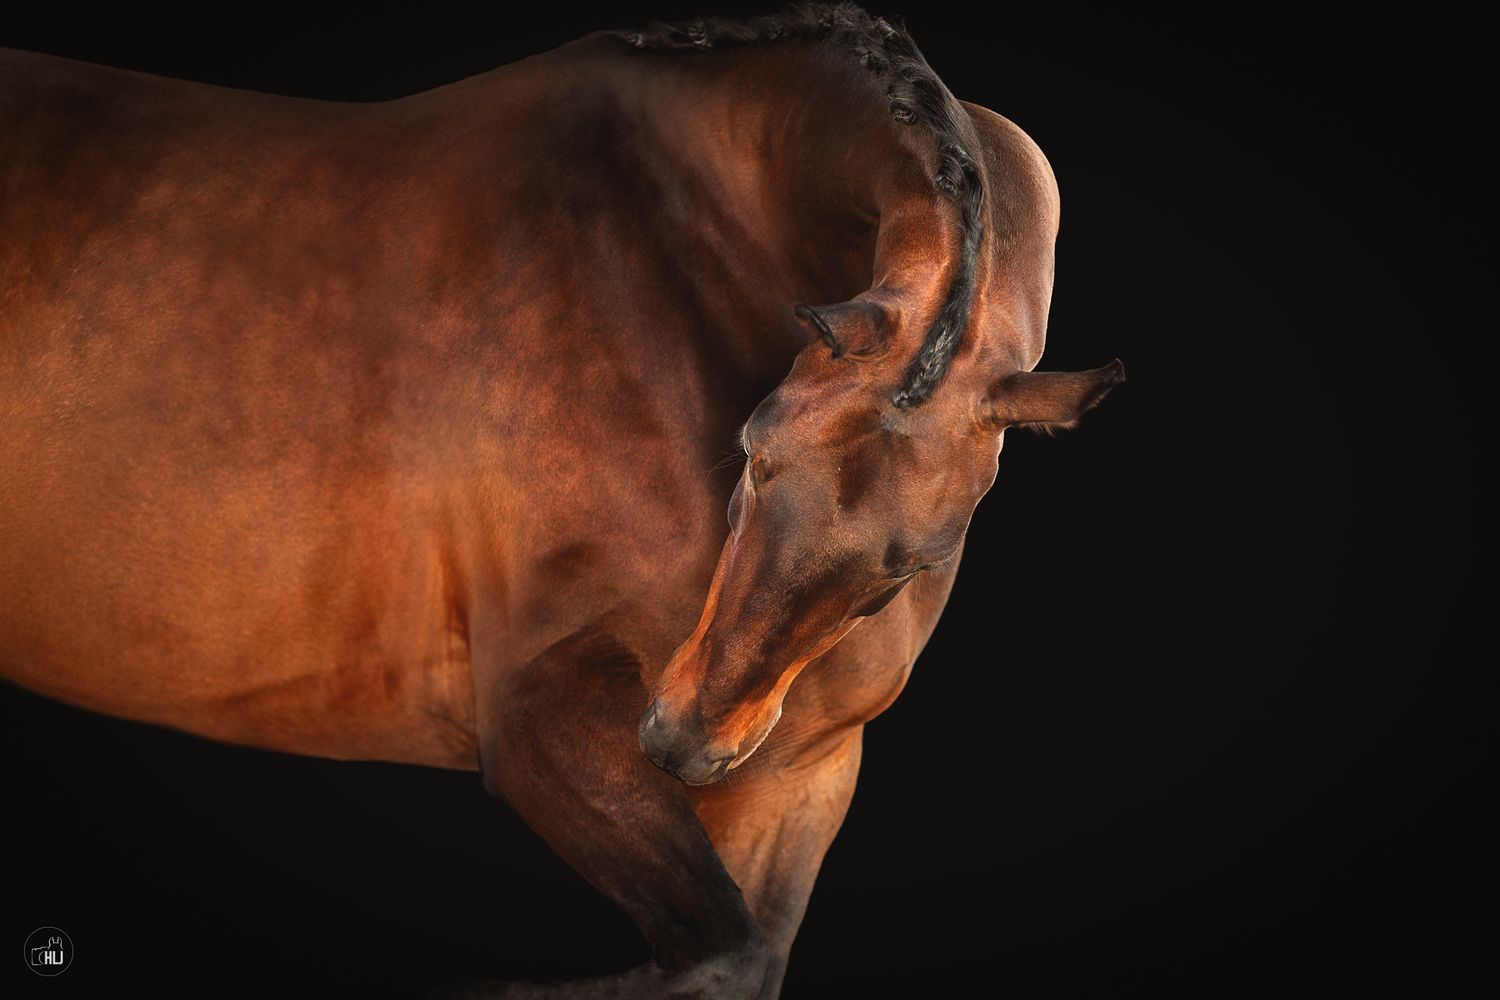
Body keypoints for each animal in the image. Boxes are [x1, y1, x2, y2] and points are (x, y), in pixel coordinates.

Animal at [0, 4, 1122, 997]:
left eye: (913, 565)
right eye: (752, 452)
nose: (679, 744)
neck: (687, 246)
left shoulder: (800, 774)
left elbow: (741, 956)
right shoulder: (537, 713)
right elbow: (715, 954)